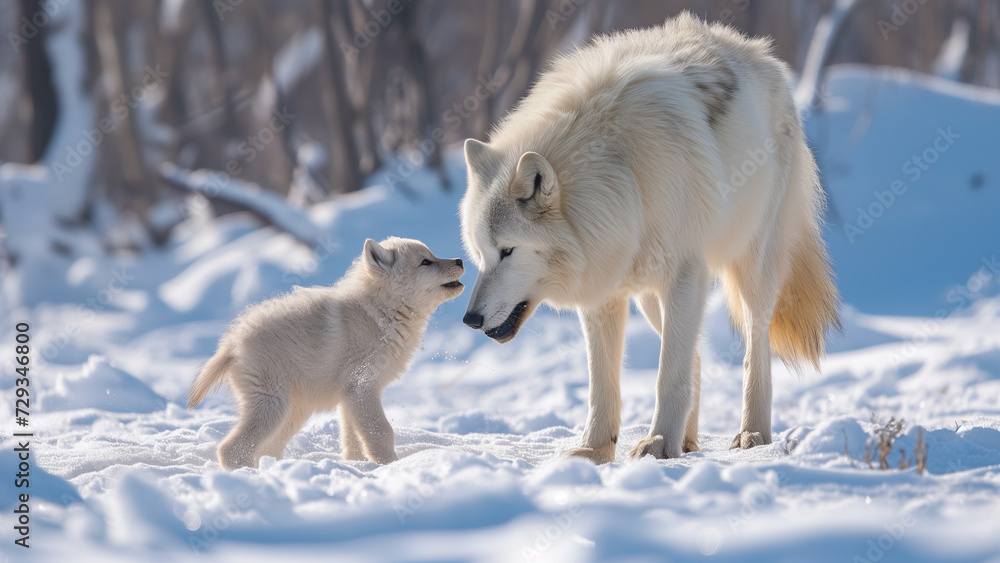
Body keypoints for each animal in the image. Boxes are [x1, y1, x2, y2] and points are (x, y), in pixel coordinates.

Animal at [188, 237, 465, 469]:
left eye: (432, 255)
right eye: (425, 262)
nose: (461, 260)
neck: (380, 313)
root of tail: (231, 345)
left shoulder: (352, 396)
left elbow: (354, 438)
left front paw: (358, 466)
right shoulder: (362, 387)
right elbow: (381, 431)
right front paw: (391, 466)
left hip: (293, 411)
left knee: (265, 449)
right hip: (272, 404)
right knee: (231, 449)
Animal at [459, 13, 839, 462]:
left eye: (508, 251)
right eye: (481, 254)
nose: (469, 318)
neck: (621, 181)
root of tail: (761, 52)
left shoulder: (685, 273)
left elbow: (665, 375)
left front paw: (657, 443)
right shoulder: (602, 288)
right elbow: (602, 384)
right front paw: (593, 451)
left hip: (749, 270)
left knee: (752, 350)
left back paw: (752, 434)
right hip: (647, 293)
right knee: (694, 358)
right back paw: (687, 443)